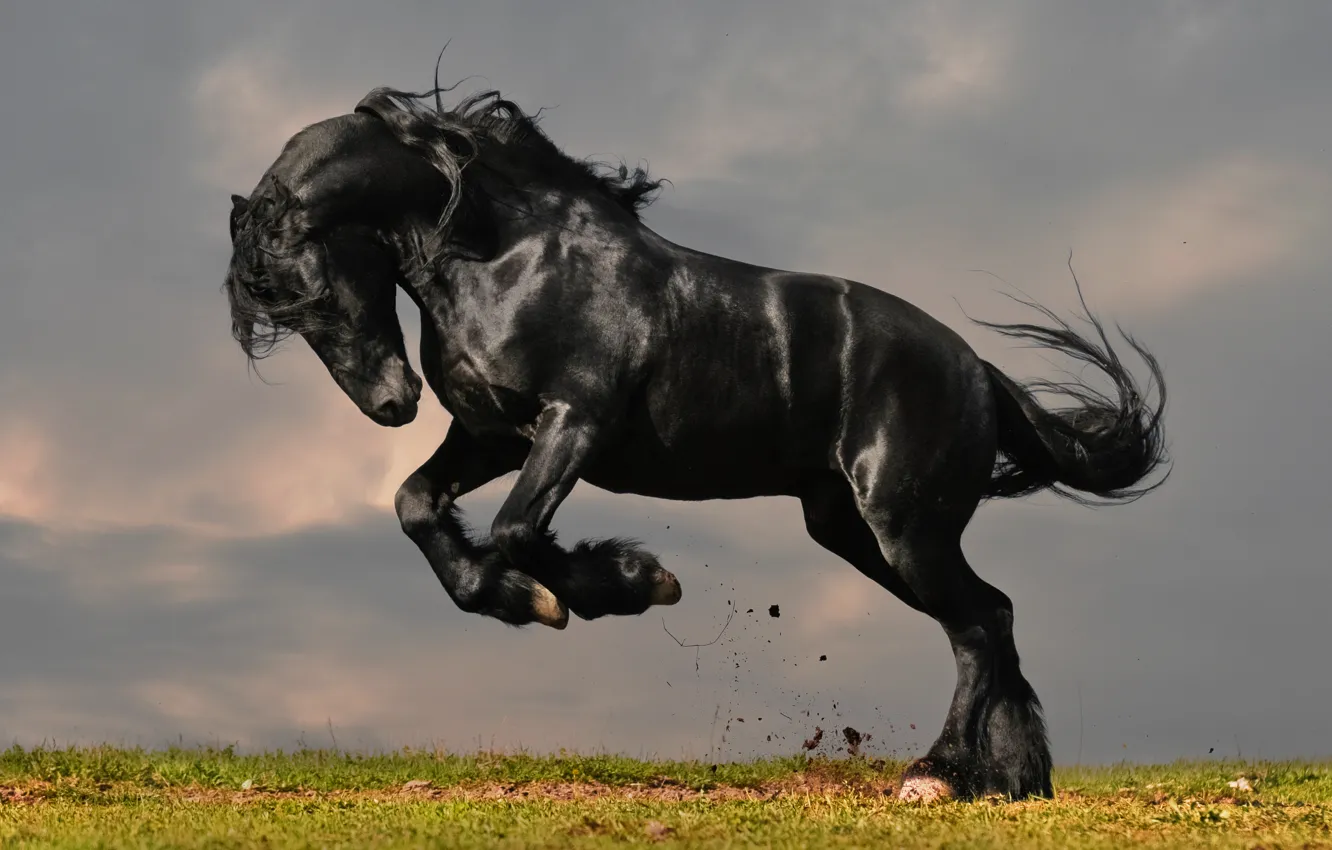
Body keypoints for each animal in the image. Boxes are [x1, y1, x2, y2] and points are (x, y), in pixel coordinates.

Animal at [223, 79, 1167, 803]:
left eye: (310, 290)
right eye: (280, 310)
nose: (390, 404)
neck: (509, 257)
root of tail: (977, 371)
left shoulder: (574, 423)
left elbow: (517, 530)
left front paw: (622, 584)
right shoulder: (491, 433)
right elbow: (418, 505)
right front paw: (524, 597)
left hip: (905, 528)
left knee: (977, 625)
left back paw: (937, 775)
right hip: (853, 530)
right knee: (993, 616)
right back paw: (1009, 780)